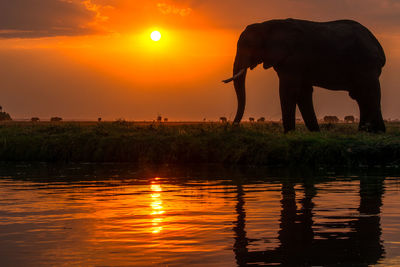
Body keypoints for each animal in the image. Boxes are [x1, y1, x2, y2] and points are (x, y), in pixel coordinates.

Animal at [223, 18, 386, 133]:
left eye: (248, 46)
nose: (233, 127)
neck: (268, 24)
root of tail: (377, 45)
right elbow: (303, 92)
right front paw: (315, 133)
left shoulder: (293, 58)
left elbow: (289, 90)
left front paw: (288, 134)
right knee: (361, 96)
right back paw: (368, 132)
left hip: (366, 64)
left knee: (368, 94)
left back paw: (374, 133)